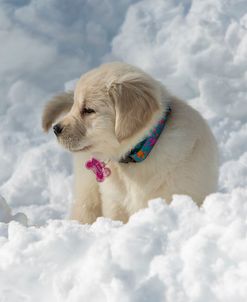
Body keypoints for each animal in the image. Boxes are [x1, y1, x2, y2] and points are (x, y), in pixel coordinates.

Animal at [42, 61, 218, 223]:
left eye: (88, 110)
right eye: (74, 105)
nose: (56, 129)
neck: (140, 154)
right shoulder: (114, 203)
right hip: (87, 189)